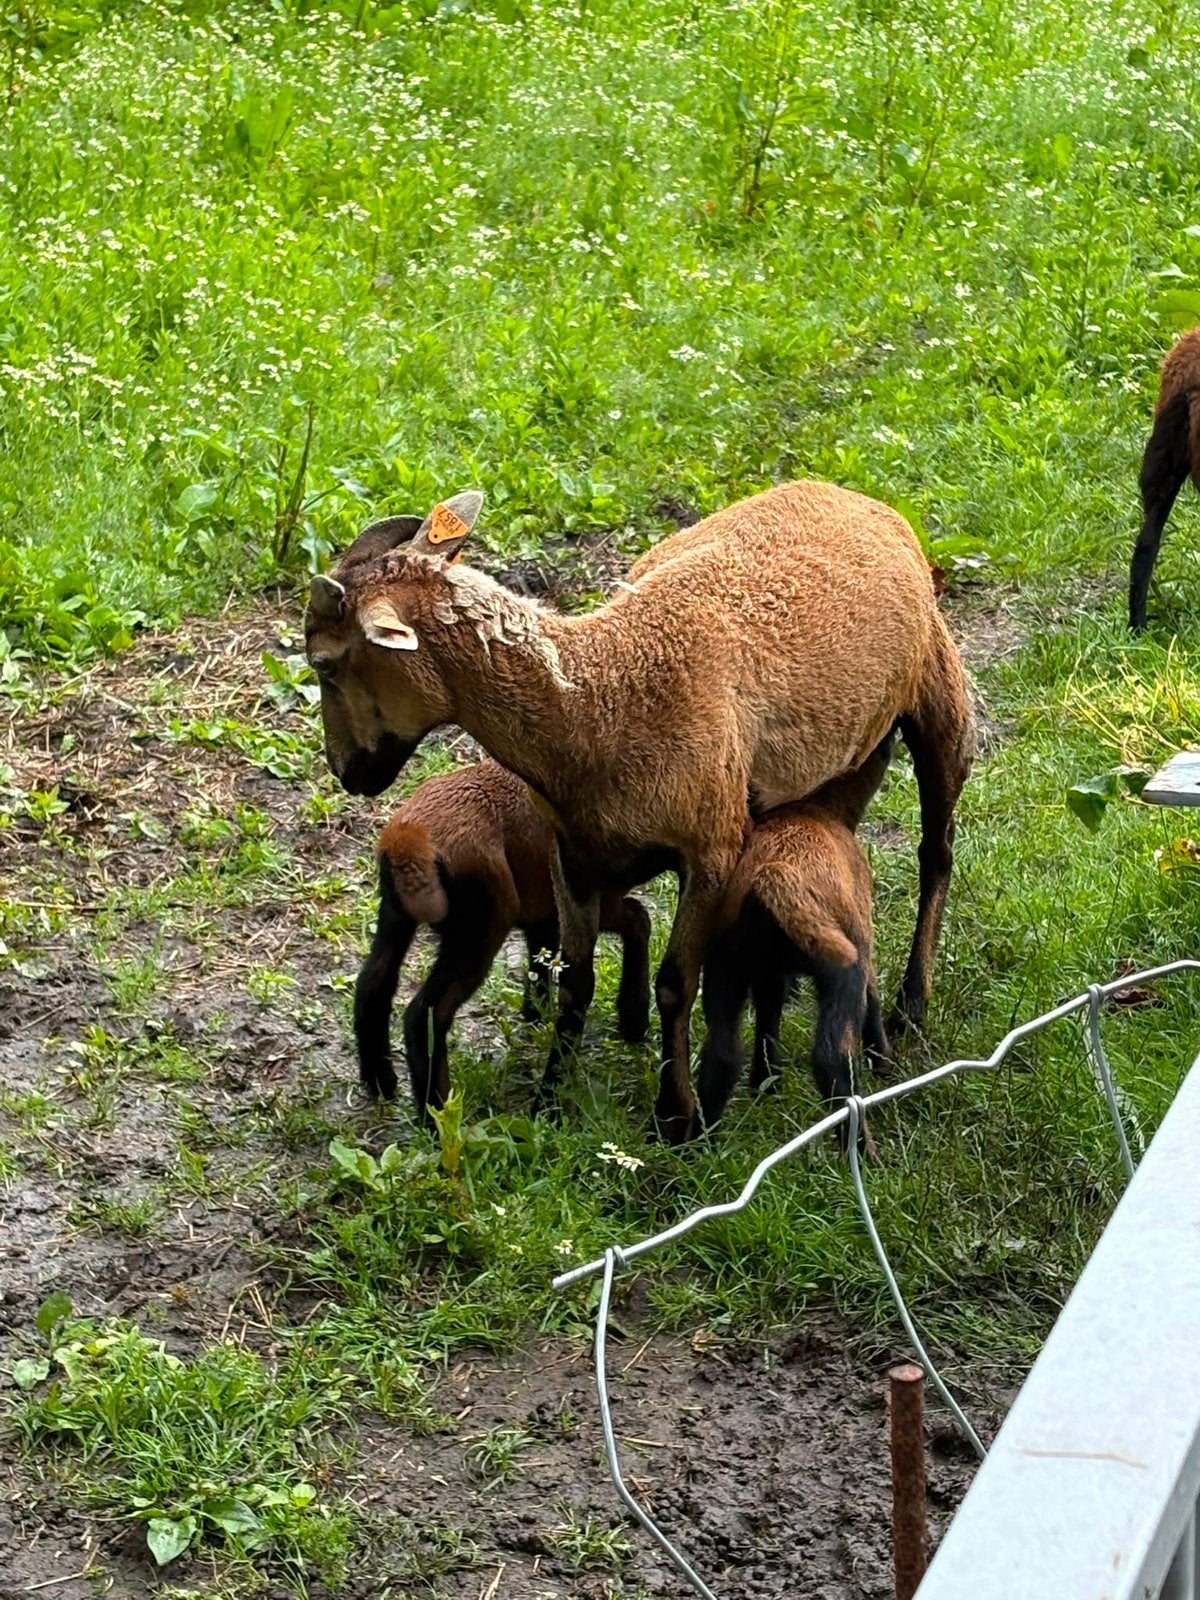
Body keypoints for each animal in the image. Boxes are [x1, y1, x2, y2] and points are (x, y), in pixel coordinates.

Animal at [354, 758, 652, 1126]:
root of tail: (410, 840)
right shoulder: (592, 899)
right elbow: (637, 920)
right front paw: (634, 1020)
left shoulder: (546, 908)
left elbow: (543, 958)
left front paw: (536, 1012)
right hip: (479, 926)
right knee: (424, 1015)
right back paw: (436, 1118)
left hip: (396, 914)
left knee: (373, 983)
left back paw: (380, 1081)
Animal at [696, 728, 897, 1141]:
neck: (822, 808)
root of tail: (773, 874)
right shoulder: (863, 937)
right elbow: (874, 1001)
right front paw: (884, 1062)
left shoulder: (770, 971)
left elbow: (769, 1015)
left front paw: (765, 1082)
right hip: (840, 968)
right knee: (832, 1059)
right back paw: (861, 1146)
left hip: (727, 964)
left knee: (722, 1052)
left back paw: (694, 1144)